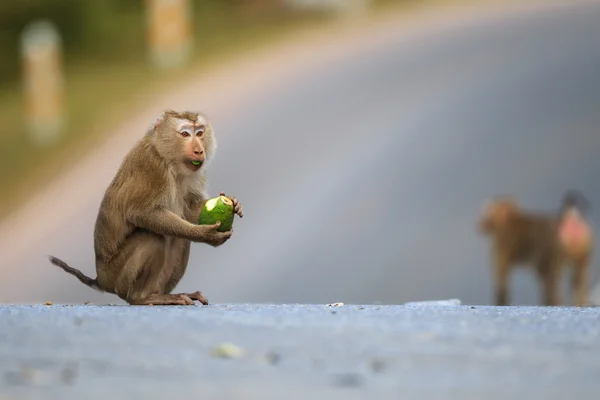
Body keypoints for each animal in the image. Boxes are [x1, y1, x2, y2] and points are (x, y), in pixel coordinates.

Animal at [47, 109, 243, 306]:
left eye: (200, 133)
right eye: (185, 134)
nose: (199, 150)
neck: (168, 158)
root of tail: (101, 279)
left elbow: (190, 210)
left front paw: (234, 203)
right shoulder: (152, 168)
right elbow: (142, 213)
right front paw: (205, 235)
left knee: (179, 239)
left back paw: (163, 294)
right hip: (117, 276)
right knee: (152, 238)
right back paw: (142, 298)